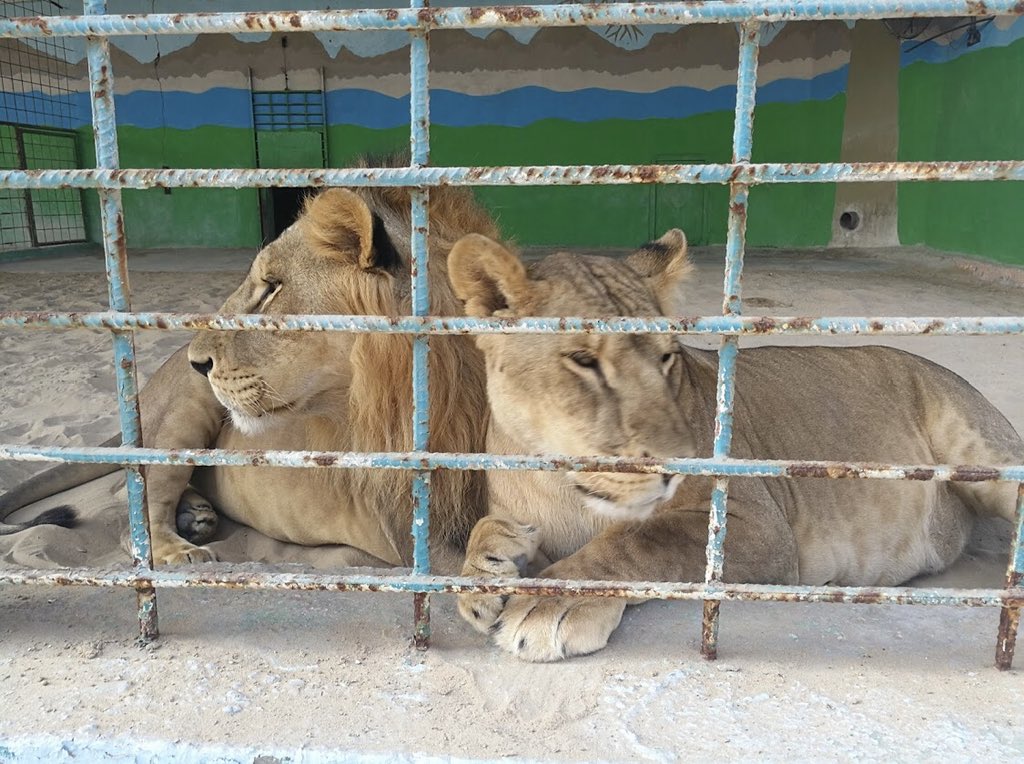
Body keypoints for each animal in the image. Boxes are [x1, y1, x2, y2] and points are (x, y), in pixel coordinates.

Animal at [0, 166, 495, 573]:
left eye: (272, 288)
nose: (197, 361)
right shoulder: (416, 529)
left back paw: (195, 515)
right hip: (185, 413)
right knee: (137, 516)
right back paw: (181, 547)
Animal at [448, 229, 1024, 659]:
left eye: (666, 357)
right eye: (584, 361)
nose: (678, 464)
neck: (563, 484)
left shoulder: (759, 530)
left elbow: (636, 541)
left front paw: (551, 602)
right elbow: (488, 527)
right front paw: (485, 571)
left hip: (982, 448)